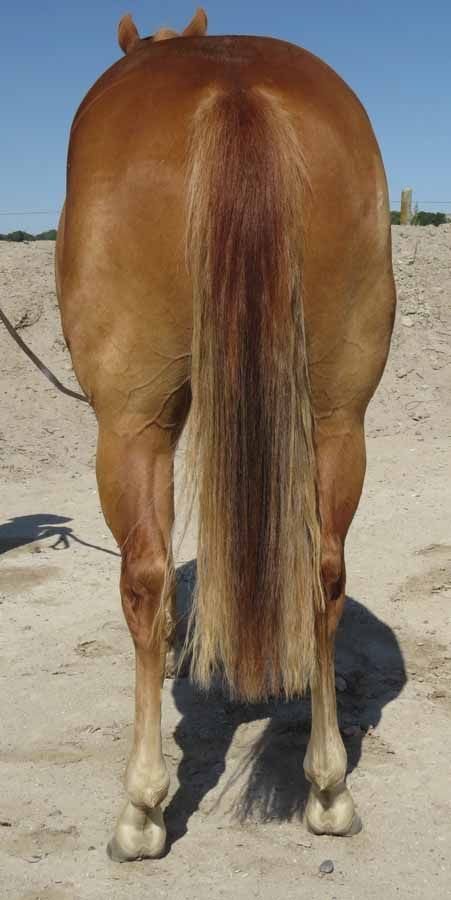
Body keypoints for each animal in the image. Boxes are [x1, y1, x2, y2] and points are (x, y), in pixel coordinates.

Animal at [55, 8, 396, 861]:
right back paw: (328, 789)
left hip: (132, 424)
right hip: (337, 416)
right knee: (323, 571)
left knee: (144, 578)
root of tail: (236, 86)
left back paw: (141, 811)